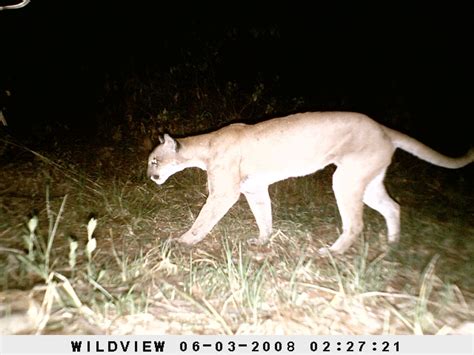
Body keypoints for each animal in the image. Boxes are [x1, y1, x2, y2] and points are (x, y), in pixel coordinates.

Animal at [146, 112, 472, 254]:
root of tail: (383, 128)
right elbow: (264, 216)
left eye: (154, 161)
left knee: (356, 223)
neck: (206, 144)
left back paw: (332, 252)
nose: (149, 175)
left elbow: (204, 219)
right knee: (393, 207)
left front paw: (183, 241)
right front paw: (262, 241)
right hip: (368, 181)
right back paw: (391, 244)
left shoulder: (224, 192)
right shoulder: (254, 189)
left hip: (346, 179)